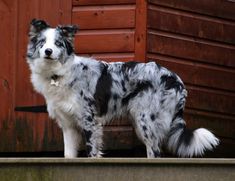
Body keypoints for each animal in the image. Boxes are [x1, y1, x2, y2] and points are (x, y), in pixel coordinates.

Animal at [26, 18, 219, 158]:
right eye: (42, 42)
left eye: (58, 43)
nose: (48, 51)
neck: (57, 74)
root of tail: (175, 79)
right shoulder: (68, 125)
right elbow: (68, 155)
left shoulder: (89, 121)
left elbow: (92, 152)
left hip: (146, 121)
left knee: (155, 153)